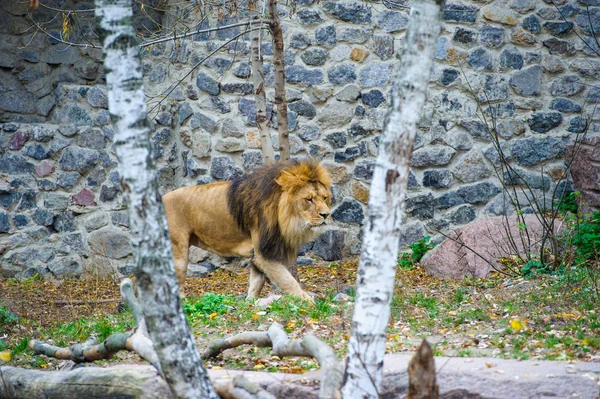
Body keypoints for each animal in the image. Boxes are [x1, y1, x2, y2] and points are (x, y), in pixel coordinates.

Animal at [163, 161, 332, 302]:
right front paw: (308, 301)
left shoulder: (259, 254)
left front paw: (250, 303)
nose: (326, 214)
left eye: (324, 198)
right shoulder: (264, 253)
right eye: (308, 199)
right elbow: (287, 280)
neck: (286, 219)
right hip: (178, 252)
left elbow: (256, 283)